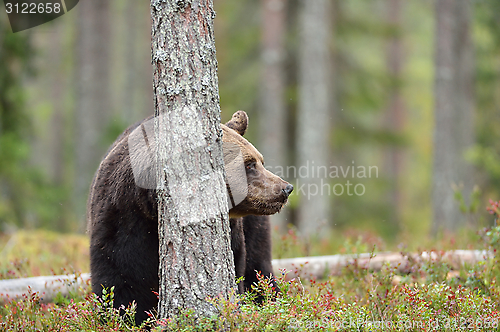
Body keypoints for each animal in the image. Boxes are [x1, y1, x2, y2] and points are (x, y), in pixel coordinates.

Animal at [87, 111, 292, 324]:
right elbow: (122, 285)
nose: (285, 188)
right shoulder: (122, 226)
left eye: (260, 161)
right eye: (249, 164)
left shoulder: (234, 234)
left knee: (258, 266)